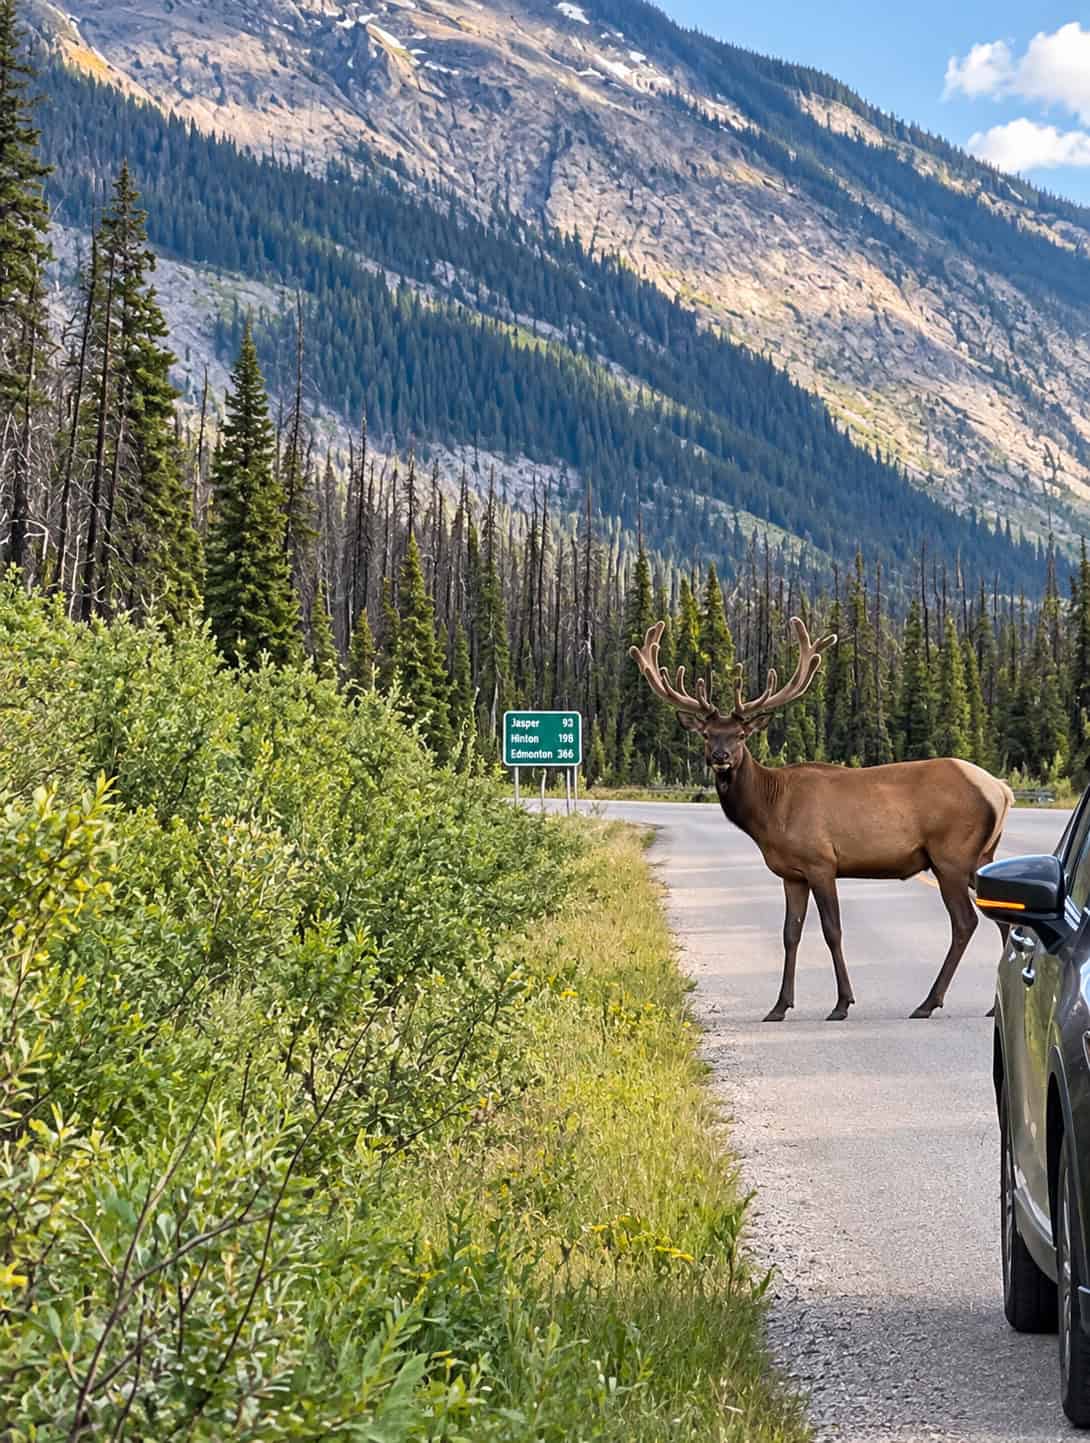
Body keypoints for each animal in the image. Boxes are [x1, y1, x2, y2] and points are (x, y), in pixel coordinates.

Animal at [630, 617, 1014, 1021]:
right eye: (706, 734)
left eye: (740, 735)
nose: (721, 757)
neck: (770, 812)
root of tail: (1002, 790)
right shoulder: (791, 874)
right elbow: (790, 933)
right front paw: (779, 1006)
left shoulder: (821, 862)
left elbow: (832, 930)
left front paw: (842, 1003)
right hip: (980, 857)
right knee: (1002, 915)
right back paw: (990, 1006)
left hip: (950, 855)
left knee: (965, 922)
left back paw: (928, 1002)